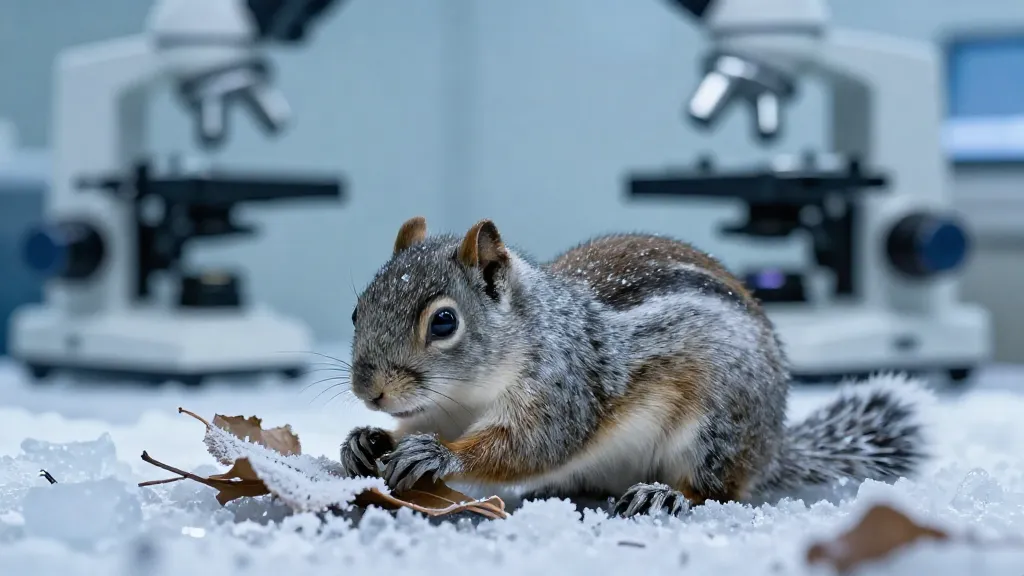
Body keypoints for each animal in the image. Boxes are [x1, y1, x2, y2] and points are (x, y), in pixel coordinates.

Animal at [339, 216, 931, 517]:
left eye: (443, 323)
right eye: (356, 310)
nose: (370, 392)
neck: (469, 394)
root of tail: (769, 451)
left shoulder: (565, 385)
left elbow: (528, 447)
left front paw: (438, 455)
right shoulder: (436, 410)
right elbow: (409, 430)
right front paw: (366, 440)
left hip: (717, 424)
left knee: (715, 487)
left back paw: (663, 493)